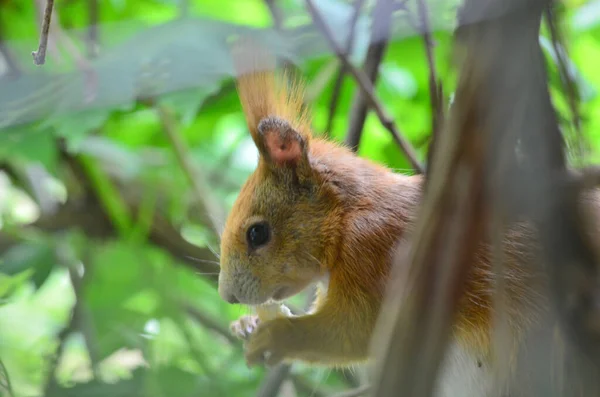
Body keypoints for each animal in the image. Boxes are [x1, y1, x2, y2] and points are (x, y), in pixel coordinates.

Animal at [218, 39, 600, 392]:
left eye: (257, 234)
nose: (228, 296)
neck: (346, 216)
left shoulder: (373, 252)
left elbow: (355, 332)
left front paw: (275, 335)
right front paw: (246, 325)